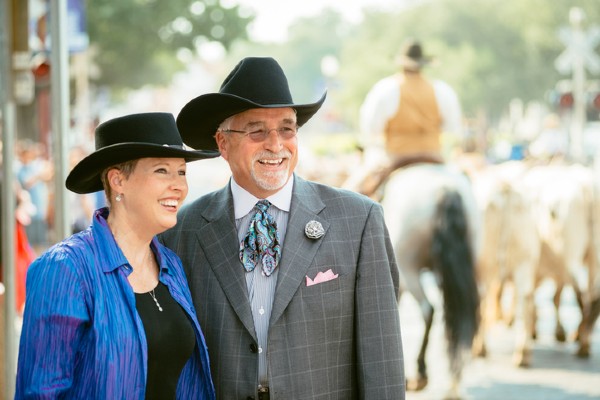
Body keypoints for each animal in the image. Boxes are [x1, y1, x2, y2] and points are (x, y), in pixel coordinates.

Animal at [382, 163, 480, 400]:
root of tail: (446, 188)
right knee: (461, 314)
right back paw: (454, 384)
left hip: (409, 267)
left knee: (428, 309)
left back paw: (421, 372)